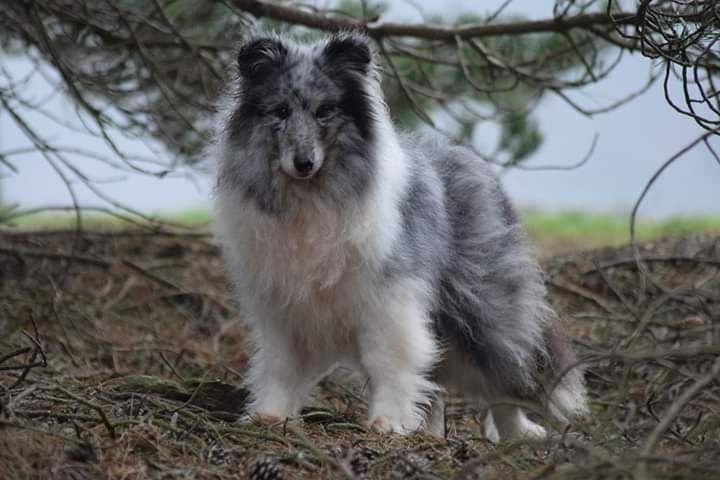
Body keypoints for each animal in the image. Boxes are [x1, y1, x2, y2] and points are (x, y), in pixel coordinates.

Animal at [211, 31, 588, 440]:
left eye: (324, 111)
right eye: (280, 111)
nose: (304, 163)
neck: (312, 197)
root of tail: (475, 162)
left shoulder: (389, 300)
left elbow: (388, 362)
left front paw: (387, 422)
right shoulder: (283, 307)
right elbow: (281, 364)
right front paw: (268, 415)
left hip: (482, 313)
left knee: (509, 375)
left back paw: (518, 434)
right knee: (438, 382)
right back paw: (432, 433)